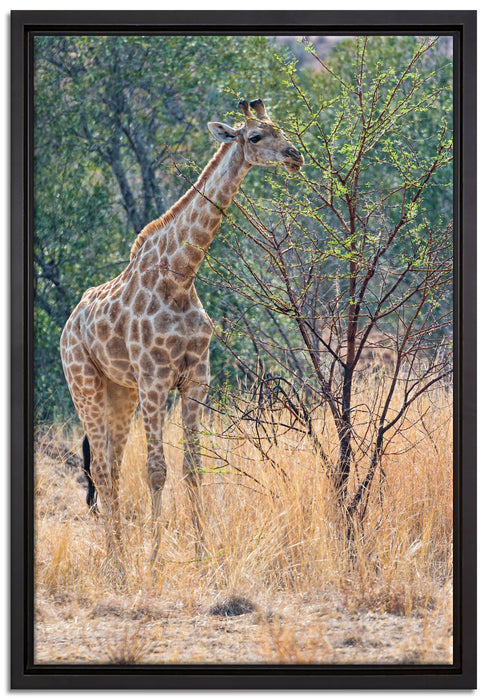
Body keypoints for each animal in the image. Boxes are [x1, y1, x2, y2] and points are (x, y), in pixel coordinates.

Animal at [60, 98, 304, 561]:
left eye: (281, 129)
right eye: (255, 136)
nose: (294, 155)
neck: (180, 277)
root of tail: (68, 326)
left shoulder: (195, 379)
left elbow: (194, 468)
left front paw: (203, 553)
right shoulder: (155, 379)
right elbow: (156, 470)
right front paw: (155, 558)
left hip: (121, 392)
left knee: (110, 467)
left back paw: (118, 556)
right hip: (85, 385)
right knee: (100, 467)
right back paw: (117, 560)